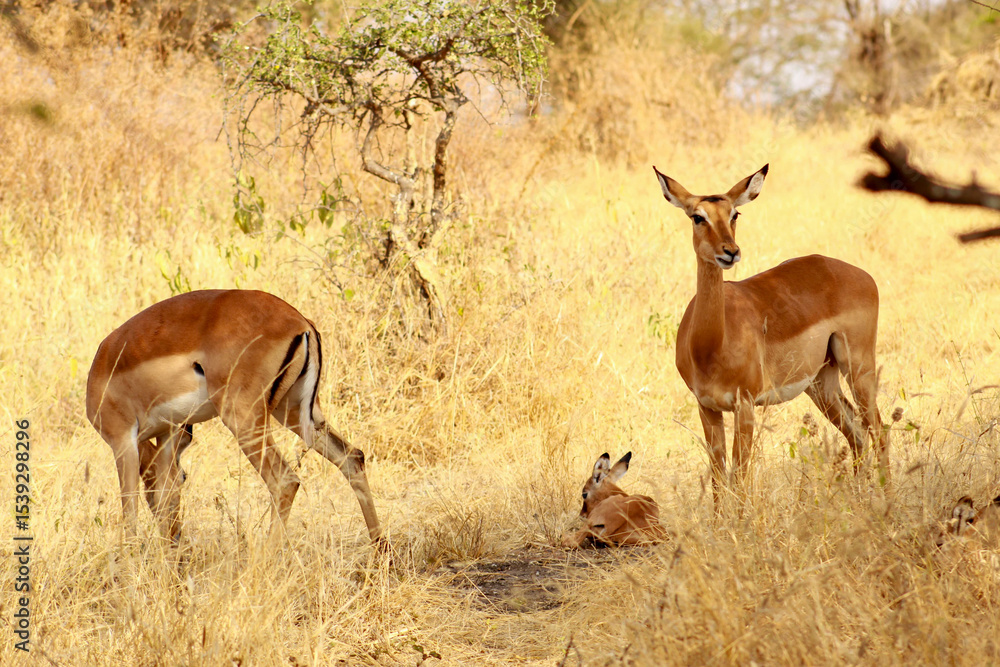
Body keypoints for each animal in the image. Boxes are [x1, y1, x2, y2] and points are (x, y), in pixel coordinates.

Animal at [86, 290, 382, 546]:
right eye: (185, 477)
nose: (178, 537)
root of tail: (301, 322)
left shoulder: (123, 440)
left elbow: (130, 510)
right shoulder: (167, 435)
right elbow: (164, 494)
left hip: (244, 419)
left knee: (285, 481)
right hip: (295, 412)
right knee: (352, 457)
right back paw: (380, 551)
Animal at [653, 164, 890, 507]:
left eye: (734, 213)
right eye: (697, 216)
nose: (730, 252)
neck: (710, 346)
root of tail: (861, 274)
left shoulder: (745, 405)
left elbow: (739, 478)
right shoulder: (707, 407)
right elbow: (718, 479)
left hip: (858, 368)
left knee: (880, 431)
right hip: (821, 383)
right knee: (856, 434)